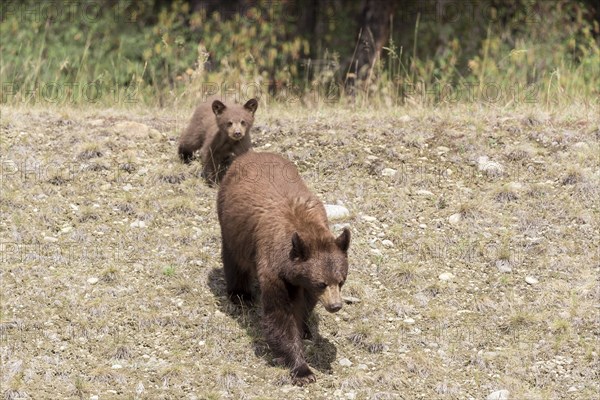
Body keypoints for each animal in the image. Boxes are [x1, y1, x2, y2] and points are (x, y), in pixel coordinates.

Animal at [216, 152, 350, 386]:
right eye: (322, 283)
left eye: (341, 281)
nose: (335, 306)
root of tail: (250, 154)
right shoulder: (274, 270)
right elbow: (280, 315)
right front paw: (302, 370)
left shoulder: (302, 283)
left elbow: (304, 305)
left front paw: (305, 329)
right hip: (231, 224)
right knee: (234, 260)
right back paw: (240, 295)